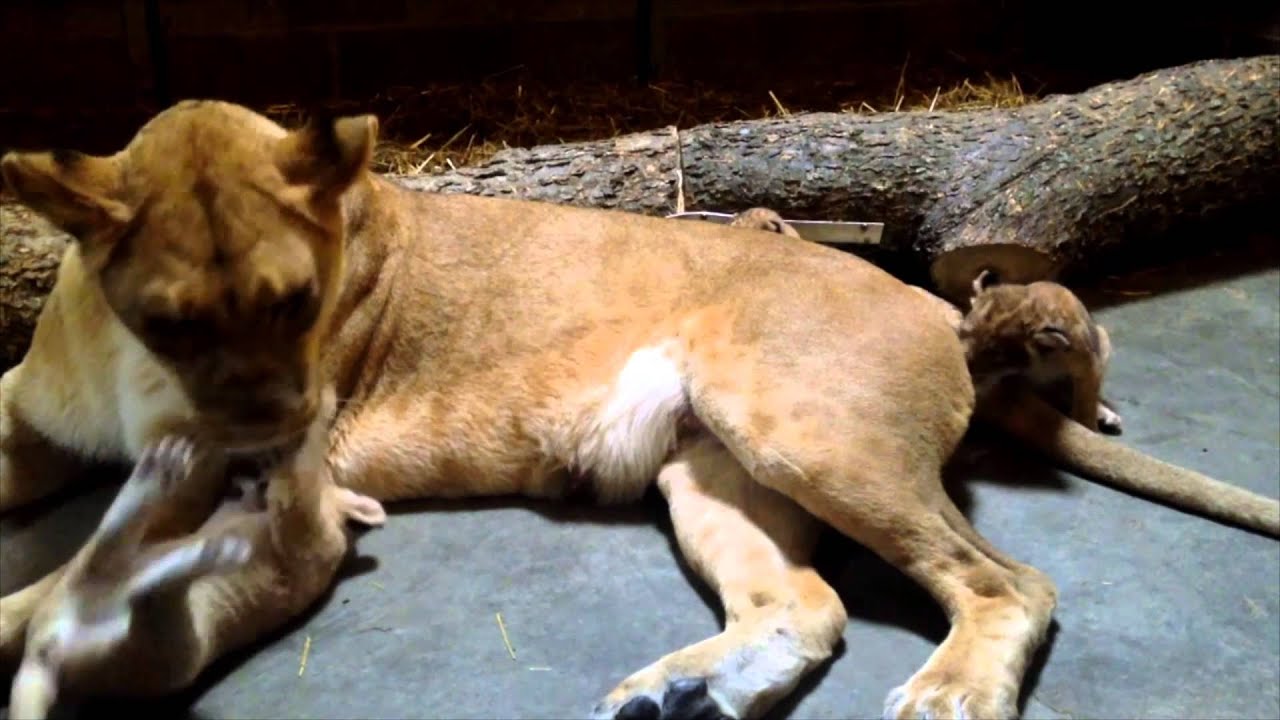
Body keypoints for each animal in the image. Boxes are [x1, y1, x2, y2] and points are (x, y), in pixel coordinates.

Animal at [1, 100, 1277, 720]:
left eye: (300, 305)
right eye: (175, 320)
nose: (273, 452)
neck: (122, 359)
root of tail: (935, 304)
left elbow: (55, 584)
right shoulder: (34, 411)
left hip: (802, 432)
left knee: (1010, 583)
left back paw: (948, 694)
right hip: (708, 470)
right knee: (805, 604)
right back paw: (679, 695)